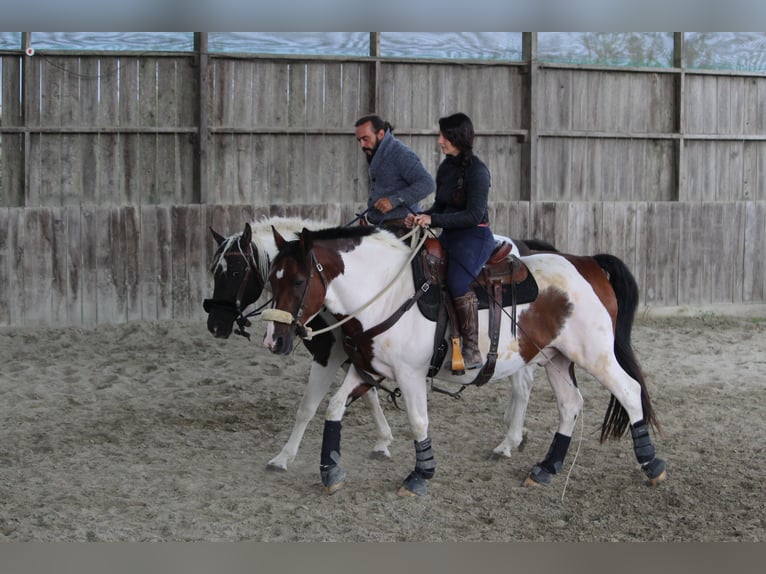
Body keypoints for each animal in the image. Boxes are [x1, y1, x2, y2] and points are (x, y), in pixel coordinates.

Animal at [204, 216, 548, 472]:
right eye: (213, 270)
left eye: (235, 271)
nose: (215, 325)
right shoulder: (356, 357)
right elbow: (326, 403)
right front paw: (285, 457)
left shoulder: (332, 355)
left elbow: (318, 404)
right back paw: (514, 432)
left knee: (522, 386)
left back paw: (509, 440)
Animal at [264, 227, 664, 498]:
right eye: (270, 279)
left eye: (298, 280)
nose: (274, 340)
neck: (386, 294)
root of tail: (587, 263)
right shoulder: (368, 370)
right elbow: (332, 407)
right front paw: (329, 470)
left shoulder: (410, 375)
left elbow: (418, 421)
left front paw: (420, 475)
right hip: (556, 358)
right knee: (570, 405)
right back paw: (547, 468)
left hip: (595, 353)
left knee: (630, 392)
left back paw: (652, 465)